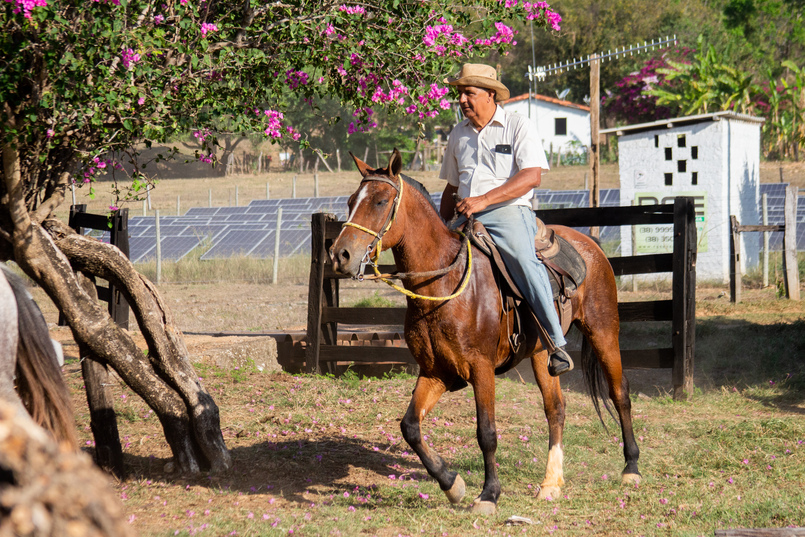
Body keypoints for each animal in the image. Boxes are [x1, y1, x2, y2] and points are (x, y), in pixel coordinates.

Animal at [328, 149, 640, 512]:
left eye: (380, 201)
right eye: (351, 201)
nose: (340, 255)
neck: (445, 284)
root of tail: (590, 245)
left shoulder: (481, 368)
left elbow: (487, 433)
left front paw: (489, 494)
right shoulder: (436, 372)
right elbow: (410, 427)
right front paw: (452, 484)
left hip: (603, 332)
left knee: (619, 393)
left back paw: (631, 469)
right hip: (542, 355)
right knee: (556, 410)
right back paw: (551, 484)